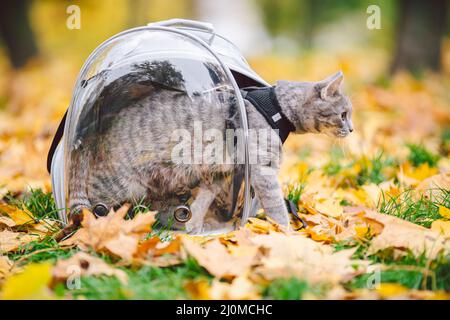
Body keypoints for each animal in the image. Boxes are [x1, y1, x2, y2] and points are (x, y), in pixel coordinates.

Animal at [69, 70, 352, 232]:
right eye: (344, 114)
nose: (351, 129)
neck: (276, 108)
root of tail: (95, 135)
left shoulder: (217, 175)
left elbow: (202, 201)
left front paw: (194, 226)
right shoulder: (263, 171)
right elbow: (277, 208)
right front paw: (288, 238)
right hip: (120, 185)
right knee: (90, 203)